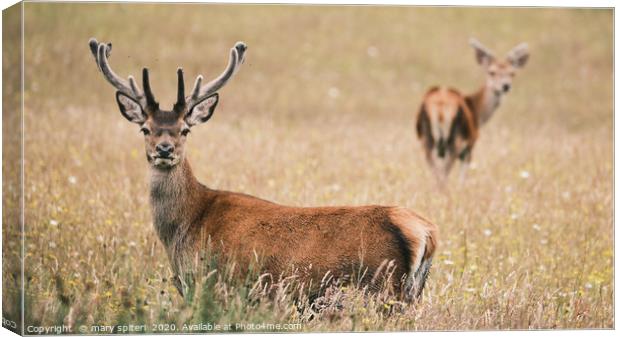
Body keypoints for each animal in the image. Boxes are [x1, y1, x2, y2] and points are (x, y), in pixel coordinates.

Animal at [88, 38, 436, 300]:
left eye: (184, 129)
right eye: (144, 128)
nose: (164, 149)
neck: (185, 226)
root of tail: (426, 232)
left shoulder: (214, 284)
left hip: (383, 287)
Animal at [416, 38, 528, 182]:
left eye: (512, 73)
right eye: (491, 72)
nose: (505, 86)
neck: (478, 113)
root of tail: (440, 105)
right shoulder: (470, 146)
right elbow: (462, 179)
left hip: (427, 140)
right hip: (454, 141)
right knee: (443, 175)